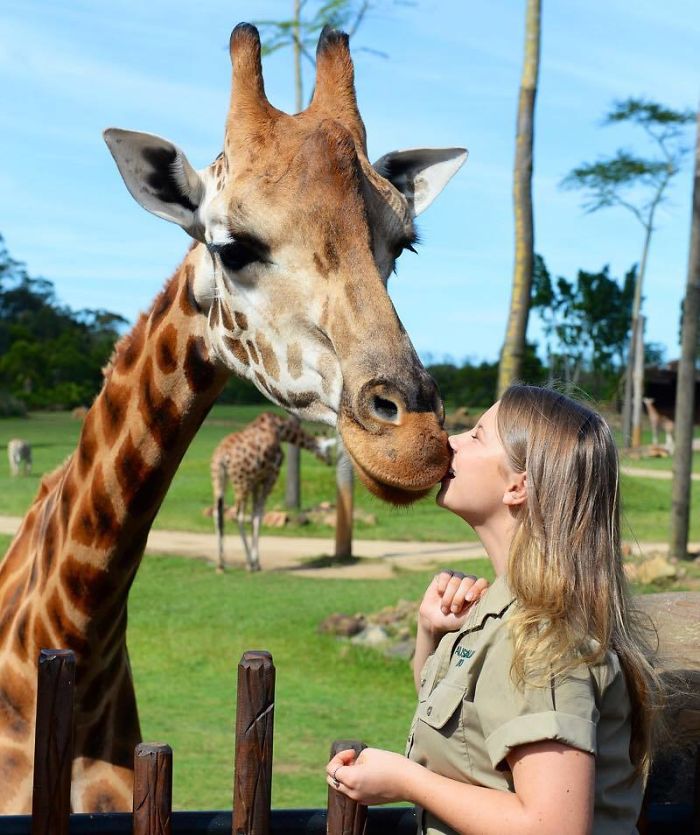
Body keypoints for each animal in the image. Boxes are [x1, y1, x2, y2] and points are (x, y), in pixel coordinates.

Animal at [212, 414, 332, 576]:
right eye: (328, 449)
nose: (330, 461)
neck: (282, 431)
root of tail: (221, 457)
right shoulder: (270, 477)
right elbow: (258, 516)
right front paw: (256, 563)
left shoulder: (256, 481)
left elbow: (254, 515)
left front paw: (255, 561)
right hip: (241, 484)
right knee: (238, 515)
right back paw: (248, 563)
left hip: (218, 481)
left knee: (217, 513)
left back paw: (221, 564)